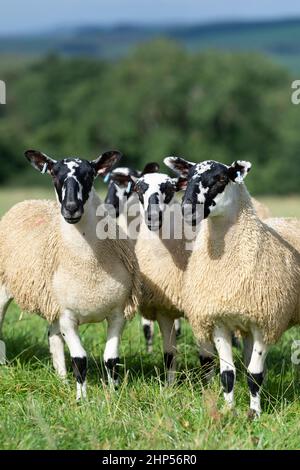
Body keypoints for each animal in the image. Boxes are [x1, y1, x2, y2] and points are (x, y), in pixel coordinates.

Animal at [0, 149, 141, 398]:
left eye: (90, 175)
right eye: (54, 175)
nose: (71, 208)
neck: (88, 265)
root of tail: (27, 202)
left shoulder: (118, 313)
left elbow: (111, 359)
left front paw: (113, 395)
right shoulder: (67, 316)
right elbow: (80, 359)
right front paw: (82, 399)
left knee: (53, 337)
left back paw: (62, 380)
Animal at [165, 157, 300, 418]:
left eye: (220, 179)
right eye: (188, 176)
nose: (187, 209)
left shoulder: (265, 321)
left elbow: (255, 375)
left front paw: (254, 415)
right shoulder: (219, 319)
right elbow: (228, 374)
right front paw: (229, 411)